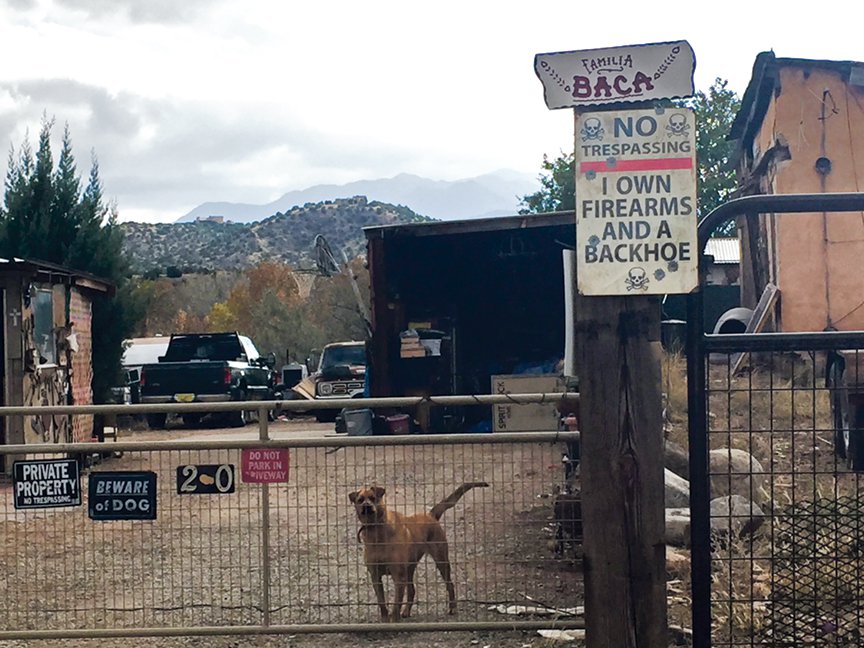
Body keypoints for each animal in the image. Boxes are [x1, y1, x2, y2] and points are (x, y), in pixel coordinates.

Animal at [350, 480, 486, 624]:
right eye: (360, 500)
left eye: (373, 498)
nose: (366, 506)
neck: (377, 532)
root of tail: (430, 515)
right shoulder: (375, 576)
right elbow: (382, 602)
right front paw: (385, 620)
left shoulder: (398, 576)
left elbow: (396, 604)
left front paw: (394, 620)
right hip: (409, 568)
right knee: (412, 590)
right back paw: (407, 611)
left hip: (441, 560)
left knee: (450, 584)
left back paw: (453, 608)